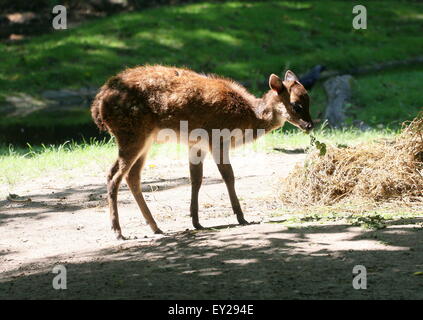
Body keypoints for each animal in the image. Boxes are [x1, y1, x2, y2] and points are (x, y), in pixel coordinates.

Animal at [91, 65, 314, 240]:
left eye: (309, 100)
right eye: (296, 105)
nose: (310, 125)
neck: (248, 116)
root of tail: (98, 108)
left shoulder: (196, 145)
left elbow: (196, 179)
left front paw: (196, 222)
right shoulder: (218, 138)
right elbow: (229, 176)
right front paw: (242, 217)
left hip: (144, 140)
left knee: (132, 175)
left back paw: (155, 227)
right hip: (131, 134)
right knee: (114, 175)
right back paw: (118, 232)